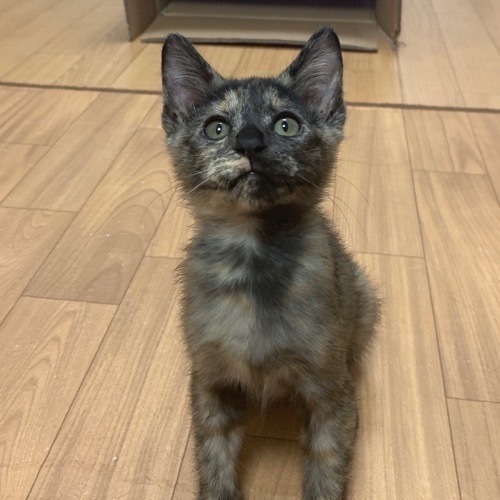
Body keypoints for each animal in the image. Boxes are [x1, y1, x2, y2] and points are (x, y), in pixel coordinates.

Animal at [161, 28, 379, 500]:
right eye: (216, 127)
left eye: (286, 124)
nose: (249, 143)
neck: (253, 263)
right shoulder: (210, 385)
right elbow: (214, 466)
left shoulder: (332, 397)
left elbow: (327, 472)